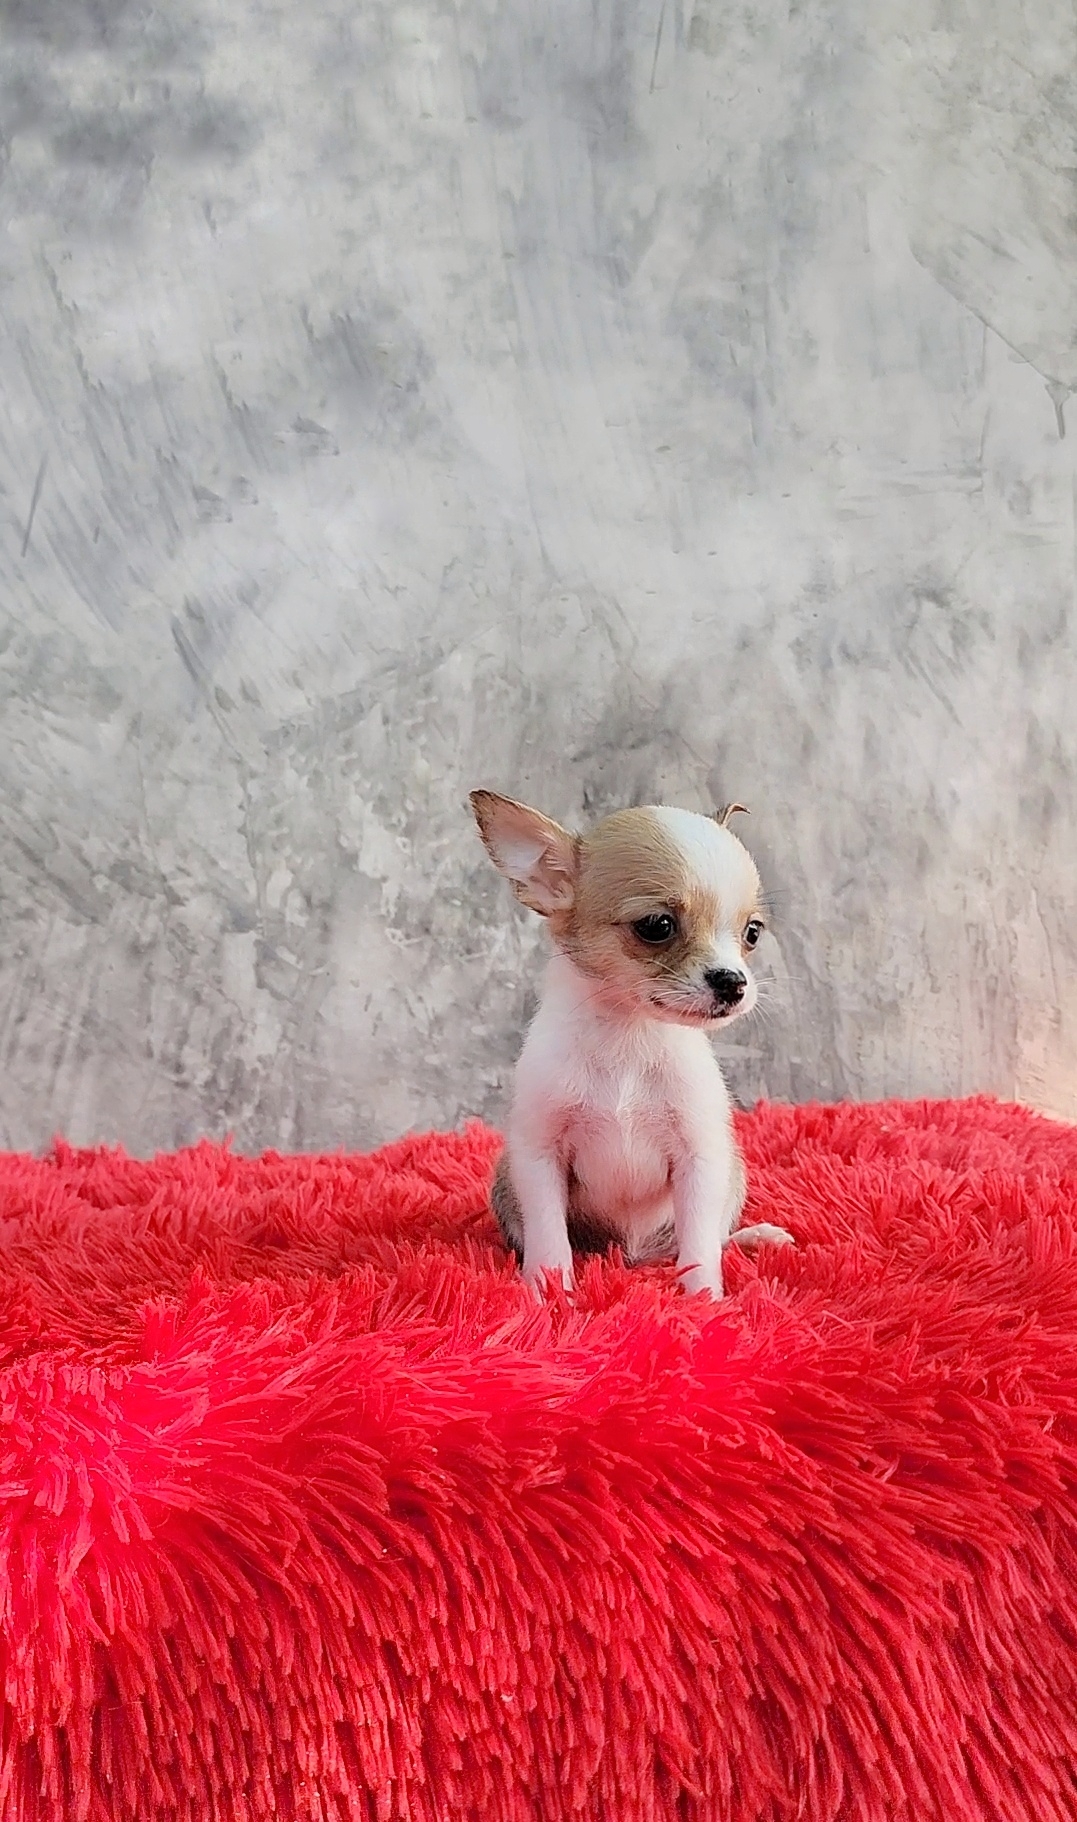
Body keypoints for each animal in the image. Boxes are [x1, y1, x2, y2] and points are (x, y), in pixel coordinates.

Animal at [471, 790, 794, 1297]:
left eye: (752, 933)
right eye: (657, 926)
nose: (734, 982)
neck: (628, 1034)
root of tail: (635, 1255)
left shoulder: (700, 1159)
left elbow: (699, 1246)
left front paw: (704, 1298)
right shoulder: (539, 1157)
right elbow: (548, 1235)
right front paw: (550, 1289)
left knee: (708, 1238)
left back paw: (754, 1237)